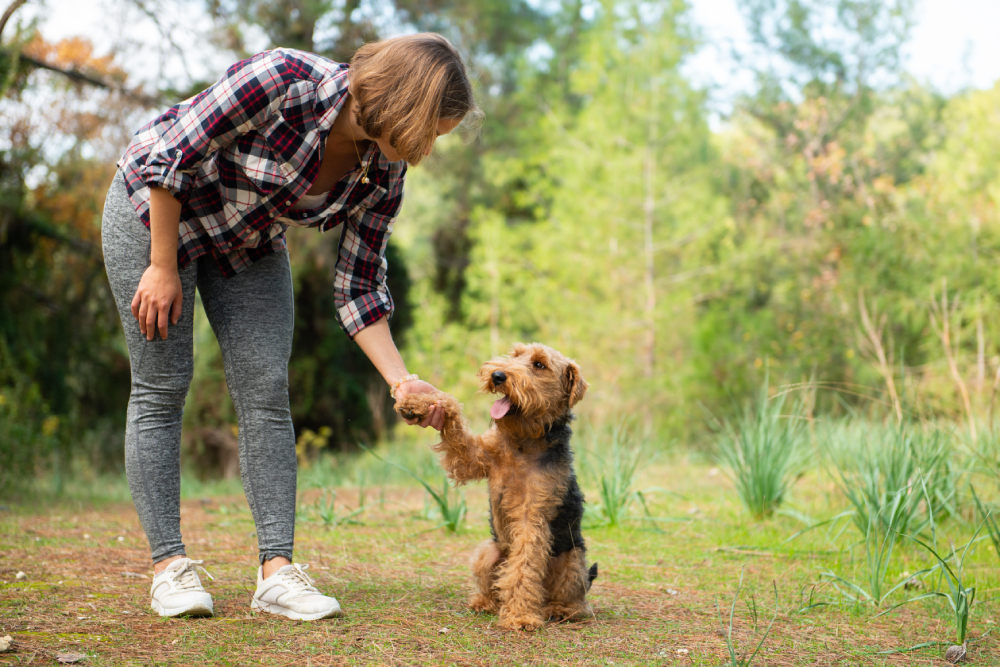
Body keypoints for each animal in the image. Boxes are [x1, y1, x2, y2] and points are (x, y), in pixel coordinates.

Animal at [392, 344, 596, 632]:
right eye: (516, 353)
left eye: (539, 365)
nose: (498, 375)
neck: (523, 440)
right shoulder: (472, 458)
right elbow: (452, 407)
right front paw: (417, 403)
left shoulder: (531, 517)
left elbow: (523, 567)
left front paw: (520, 616)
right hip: (489, 551)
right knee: (496, 584)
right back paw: (484, 602)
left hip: (571, 560)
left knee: (576, 602)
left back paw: (557, 610)